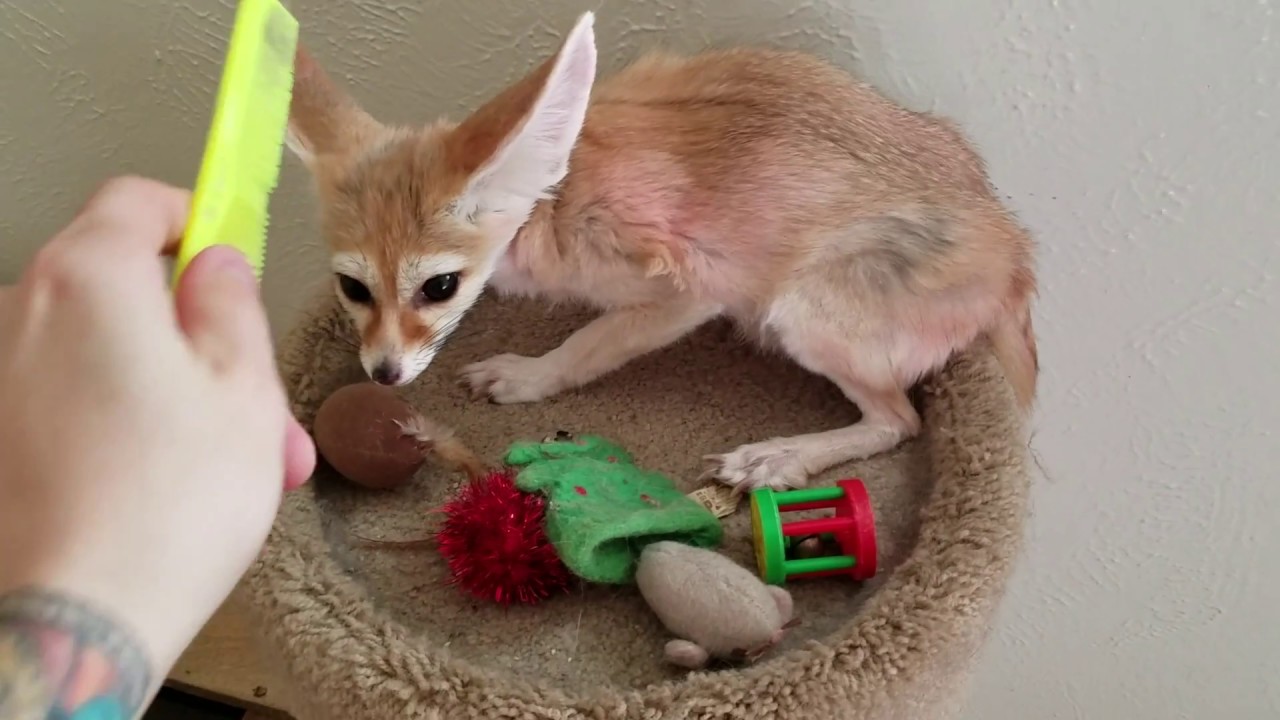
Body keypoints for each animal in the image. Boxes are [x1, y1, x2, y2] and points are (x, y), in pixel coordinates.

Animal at [283, 11, 1038, 492]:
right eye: (352, 289)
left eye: (439, 287)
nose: (383, 375)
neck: (554, 193)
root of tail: (1014, 265)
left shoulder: (687, 287)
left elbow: (590, 343)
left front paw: (528, 376)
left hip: (802, 309)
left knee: (900, 421)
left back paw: (778, 458)